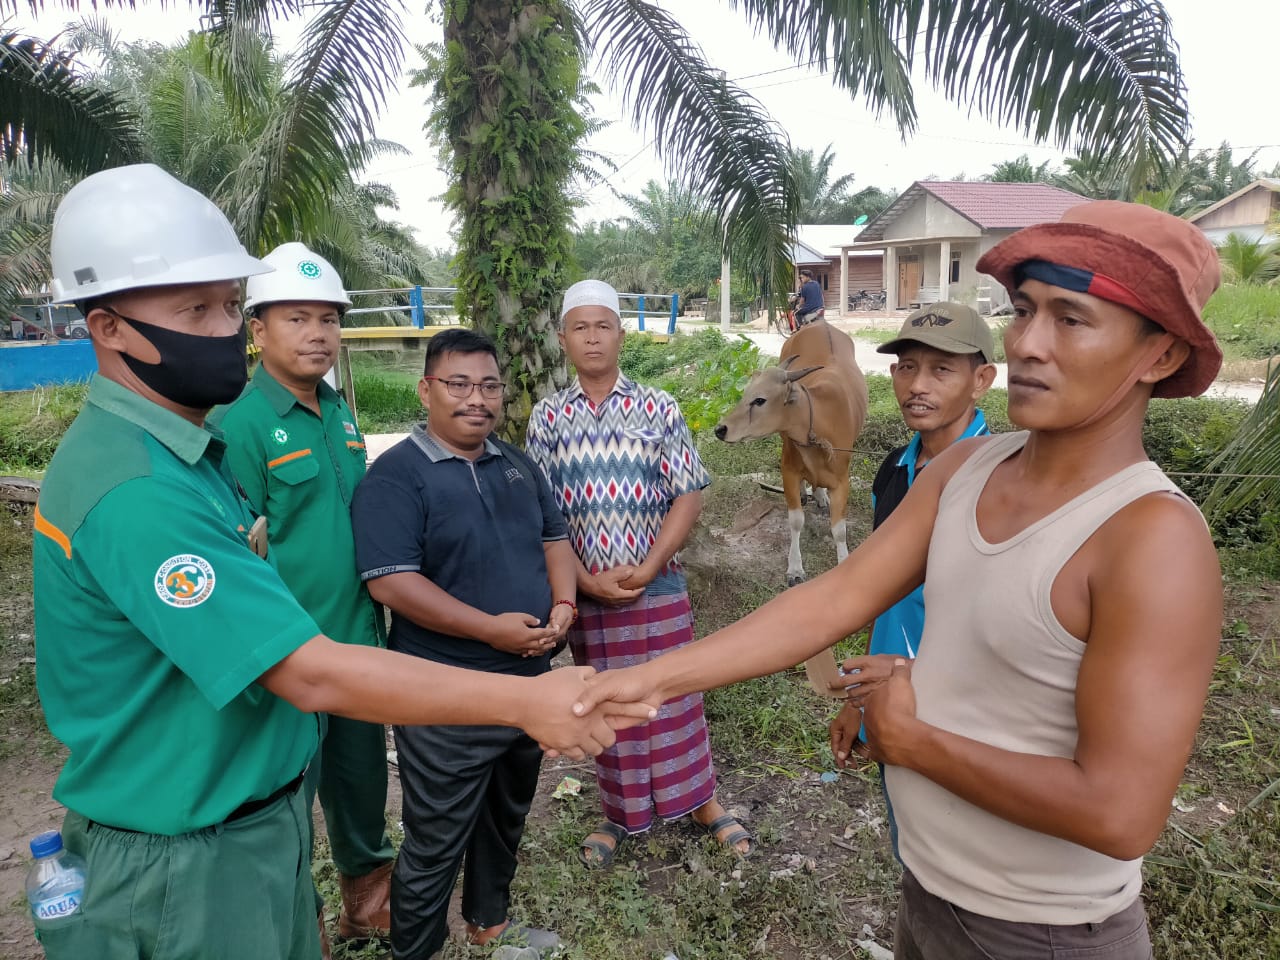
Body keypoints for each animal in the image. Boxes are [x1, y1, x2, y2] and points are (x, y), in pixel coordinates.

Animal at [716, 323, 865, 591]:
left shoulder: (842, 481)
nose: (720, 429)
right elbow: (795, 520)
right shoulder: (788, 470)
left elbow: (839, 529)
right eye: (744, 394)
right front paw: (795, 568)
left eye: (760, 399)